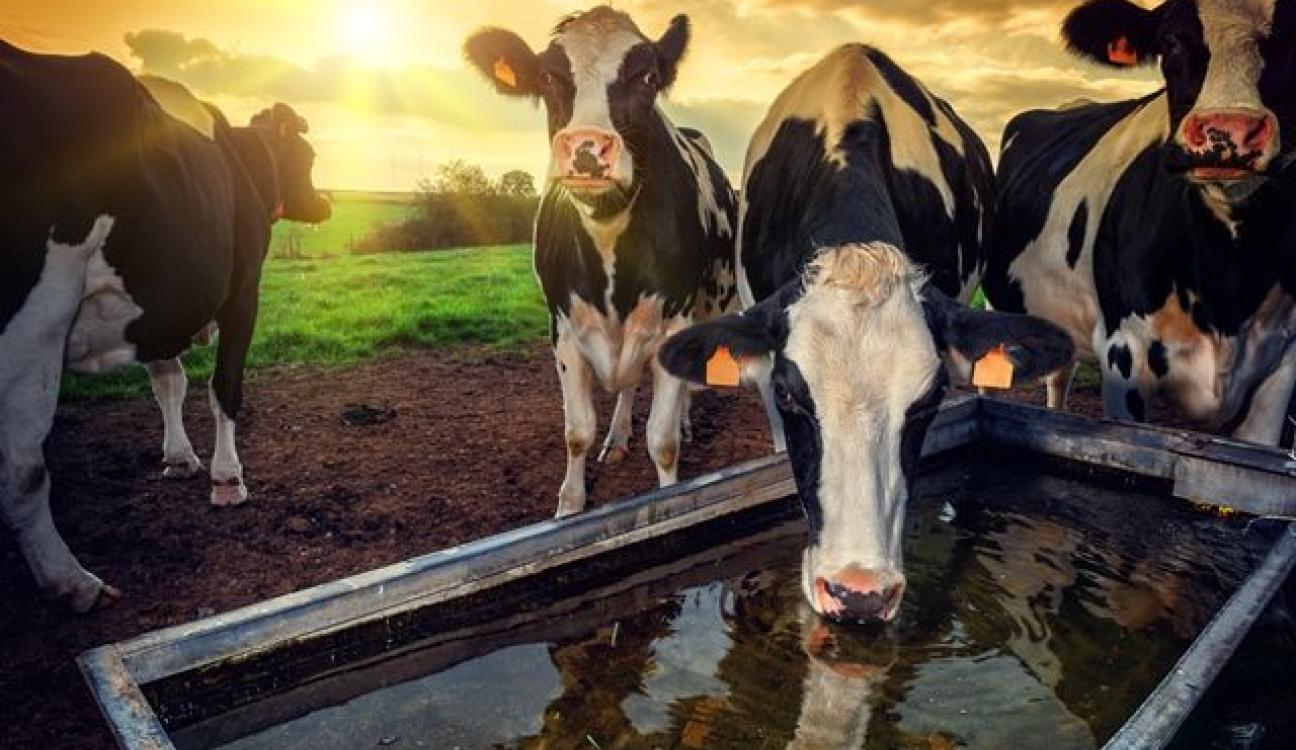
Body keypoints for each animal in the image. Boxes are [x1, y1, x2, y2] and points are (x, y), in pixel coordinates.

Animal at [0, 40, 331, 612]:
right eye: (308, 157)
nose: (328, 203)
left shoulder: (158, 308)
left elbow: (168, 383)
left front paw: (179, 458)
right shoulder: (243, 291)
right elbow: (224, 388)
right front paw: (227, 478)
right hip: (35, 318)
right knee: (23, 467)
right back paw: (74, 582)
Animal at [464, 6, 738, 518]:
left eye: (648, 77)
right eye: (548, 76)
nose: (587, 147)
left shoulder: (672, 322)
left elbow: (662, 441)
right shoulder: (564, 328)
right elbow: (577, 433)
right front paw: (569, 506)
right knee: (627, 386)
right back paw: (617, 436)